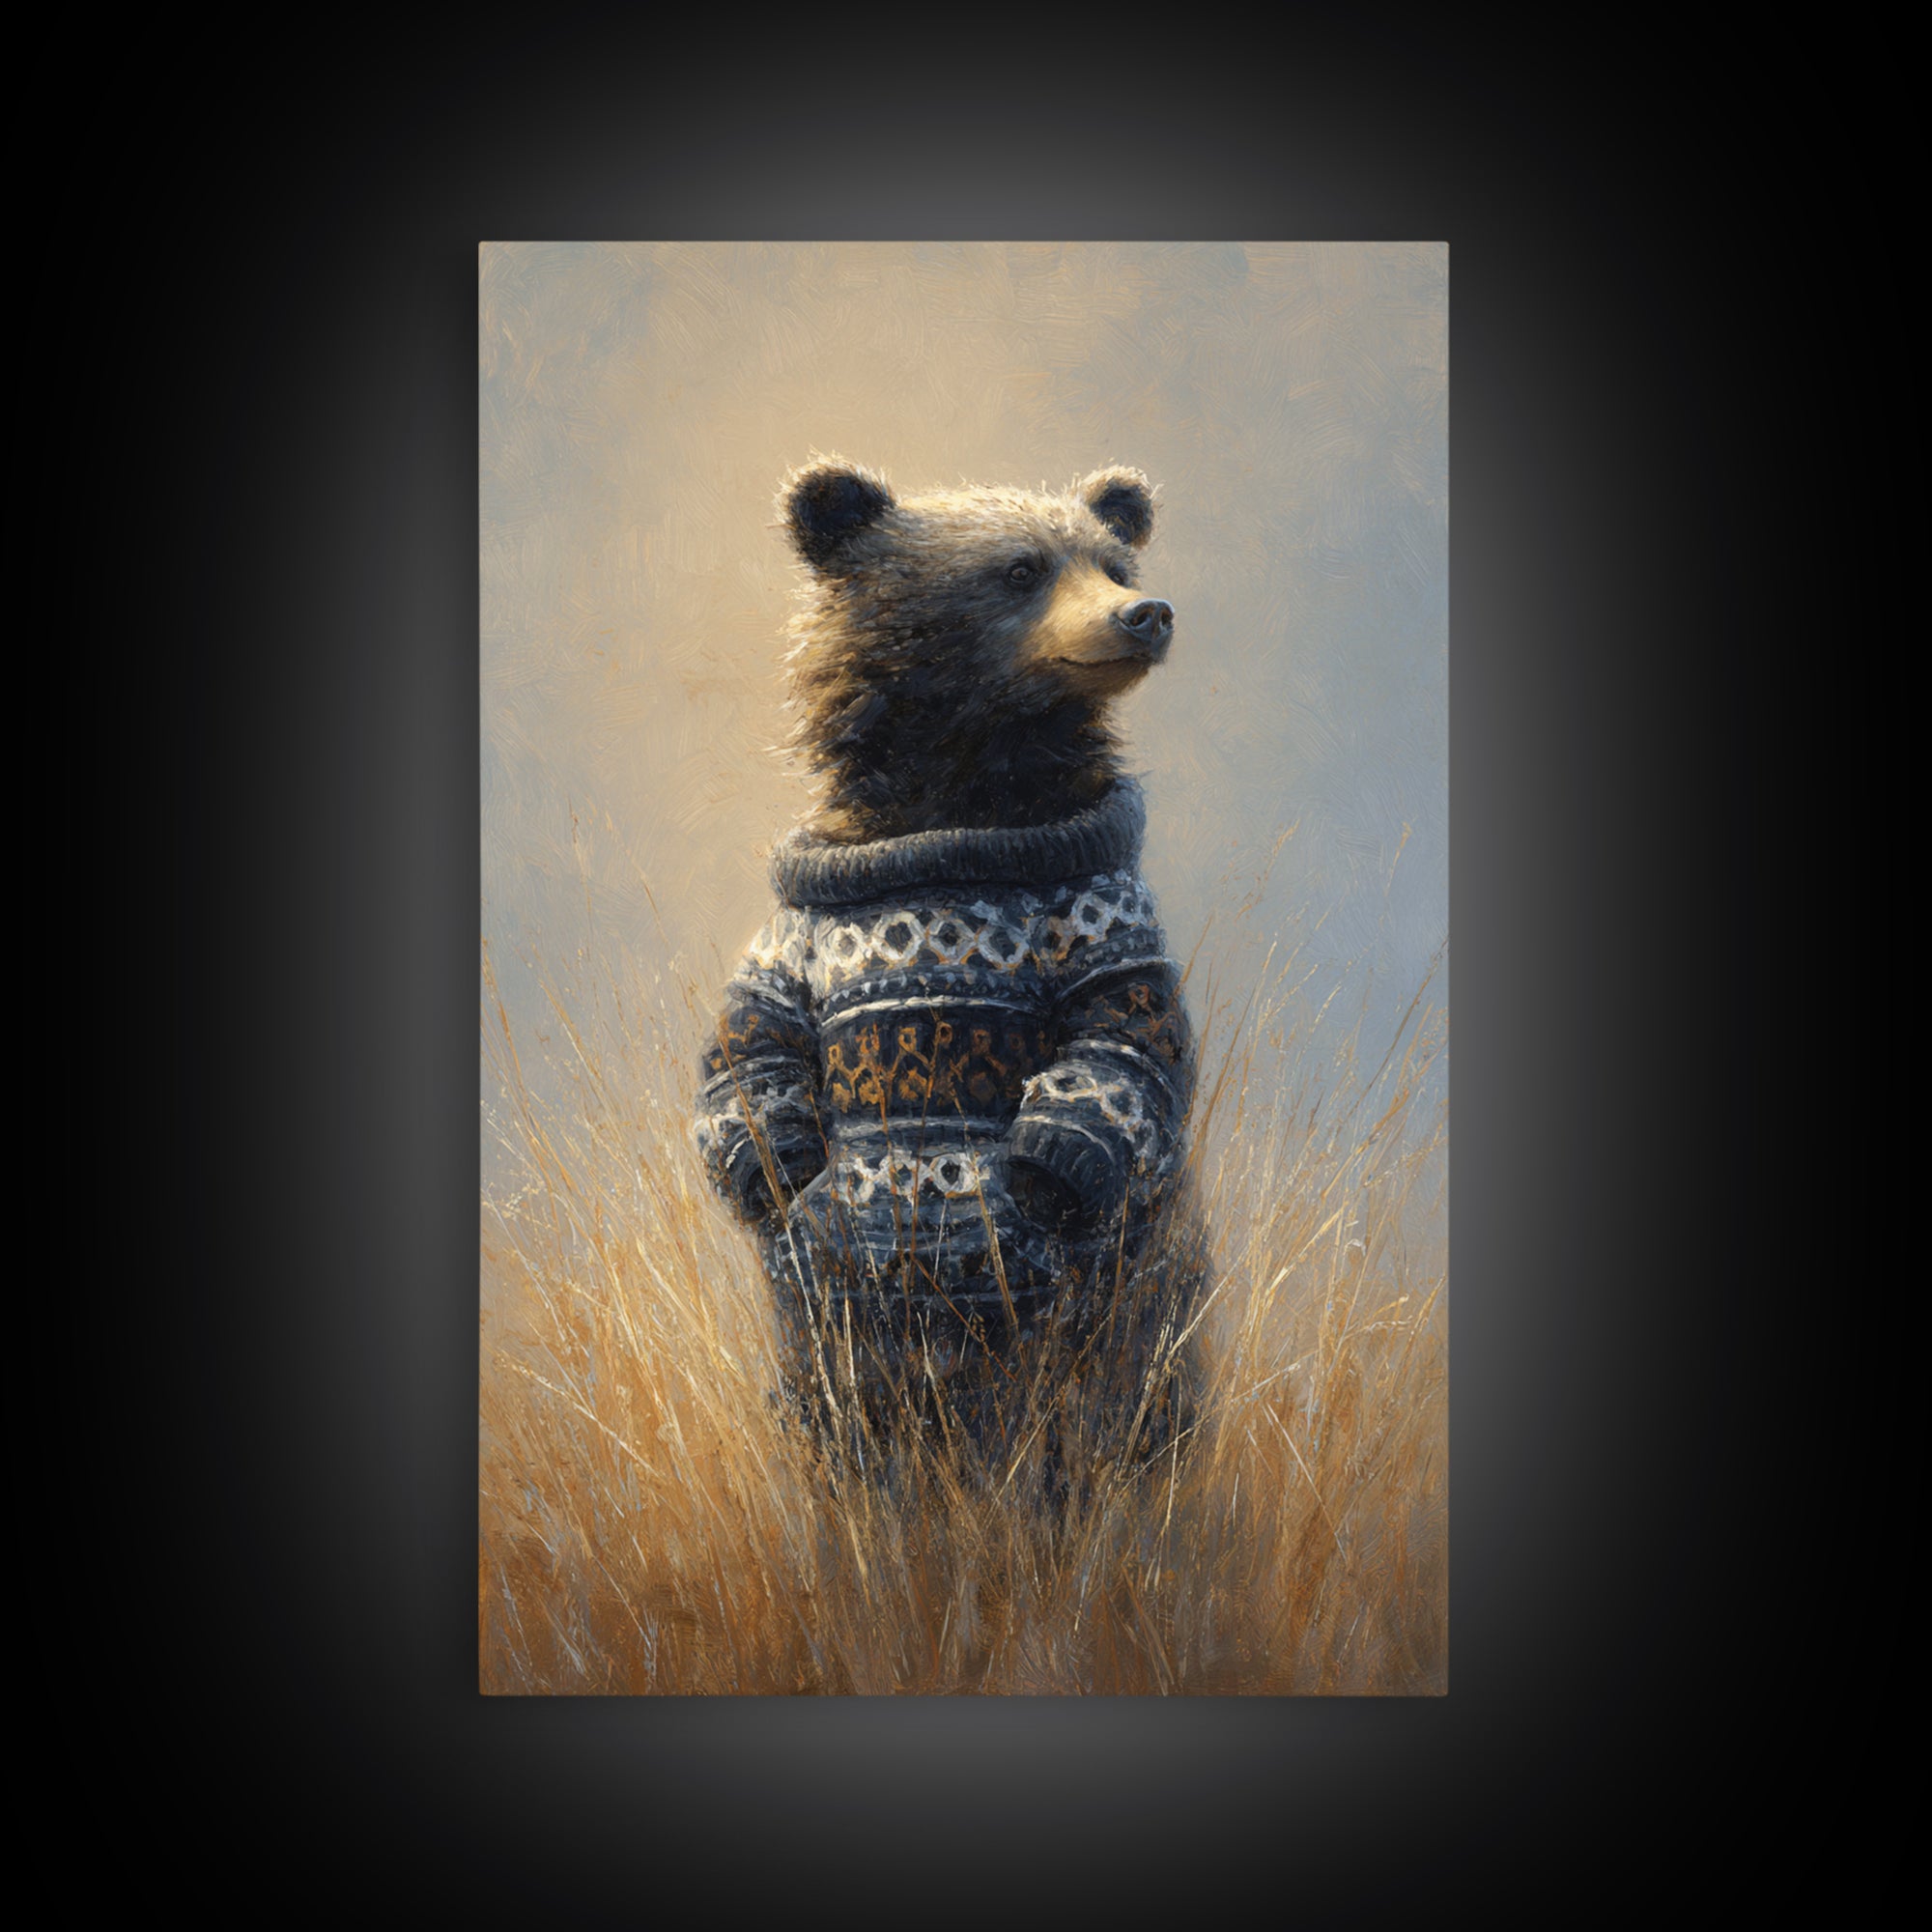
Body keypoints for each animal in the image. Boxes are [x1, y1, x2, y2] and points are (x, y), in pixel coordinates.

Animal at [693, 458, 1210, 1483]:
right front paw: (772, 1157)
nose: (1147, 613)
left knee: (1117, 1389)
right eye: (1020, 569)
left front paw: (1050, 1157)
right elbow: (751, 1032)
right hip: (830, 1320)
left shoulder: (1098, 903)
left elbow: (1128, 1028)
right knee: (841, 1403)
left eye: (1114, 562)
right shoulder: (802, 921)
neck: (960, 800)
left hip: (1121, 1291)